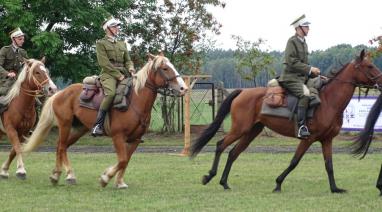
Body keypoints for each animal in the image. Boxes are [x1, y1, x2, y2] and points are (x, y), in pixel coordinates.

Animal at [22, 53, 188, 189]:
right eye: (165, 68)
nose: (183, 88)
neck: (134, 101)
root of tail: (60, 93)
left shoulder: (135, 139)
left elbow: (125, 161)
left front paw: (119, 182)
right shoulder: (118, 136)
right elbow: (122, 160)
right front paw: (105, 178)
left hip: (79, 129)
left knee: (62, 147)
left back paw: (63, 175)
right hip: (65, 125)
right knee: (61, 146)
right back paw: (60, 176)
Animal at [191, 50, 382, 193]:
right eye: (369, 66)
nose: (381, 81)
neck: (328, 101)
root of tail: (242, 92)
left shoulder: (327, 140)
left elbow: (329, 165)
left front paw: (335, 188)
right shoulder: (308, 139)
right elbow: (294, 161)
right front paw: (278, 183)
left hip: (252, 131)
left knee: (233, 153)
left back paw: (224, 182)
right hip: (240, 129)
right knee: (220, 145)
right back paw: (209, 176)